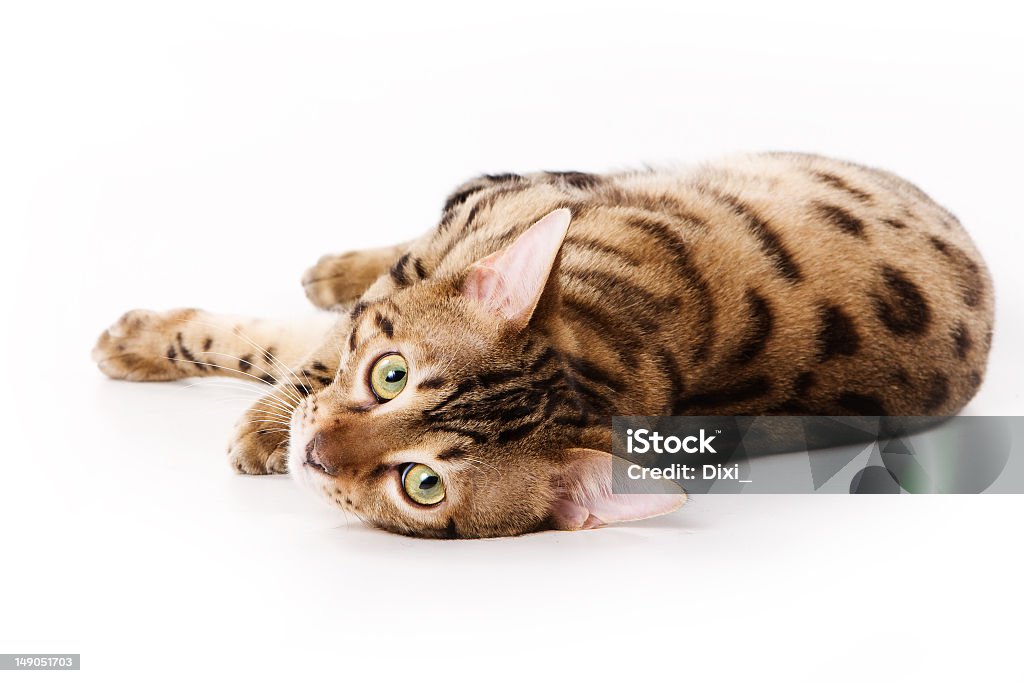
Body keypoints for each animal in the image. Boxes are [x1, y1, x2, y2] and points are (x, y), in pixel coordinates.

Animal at [94, 153, 991, 540]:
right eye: (391, 375)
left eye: (422, 483)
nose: (314, 454)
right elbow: (322, 342)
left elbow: (282, 349)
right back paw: (336, 269)